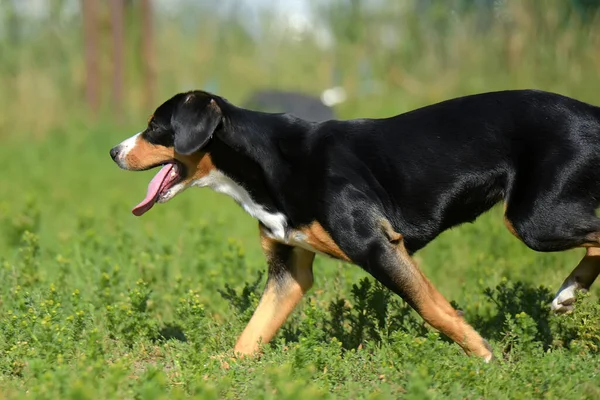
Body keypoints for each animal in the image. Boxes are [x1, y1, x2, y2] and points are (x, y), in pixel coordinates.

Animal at [110, 88, 600, 362]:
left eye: (156, 127)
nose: (114, 152)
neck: (266, 164)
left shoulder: (376, 245)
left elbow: (433, 309)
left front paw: (484, 359)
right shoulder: (288, 272)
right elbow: (250, 337)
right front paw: (216, 376)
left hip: (535, 219)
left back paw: (569, 290)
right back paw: (569, 292)